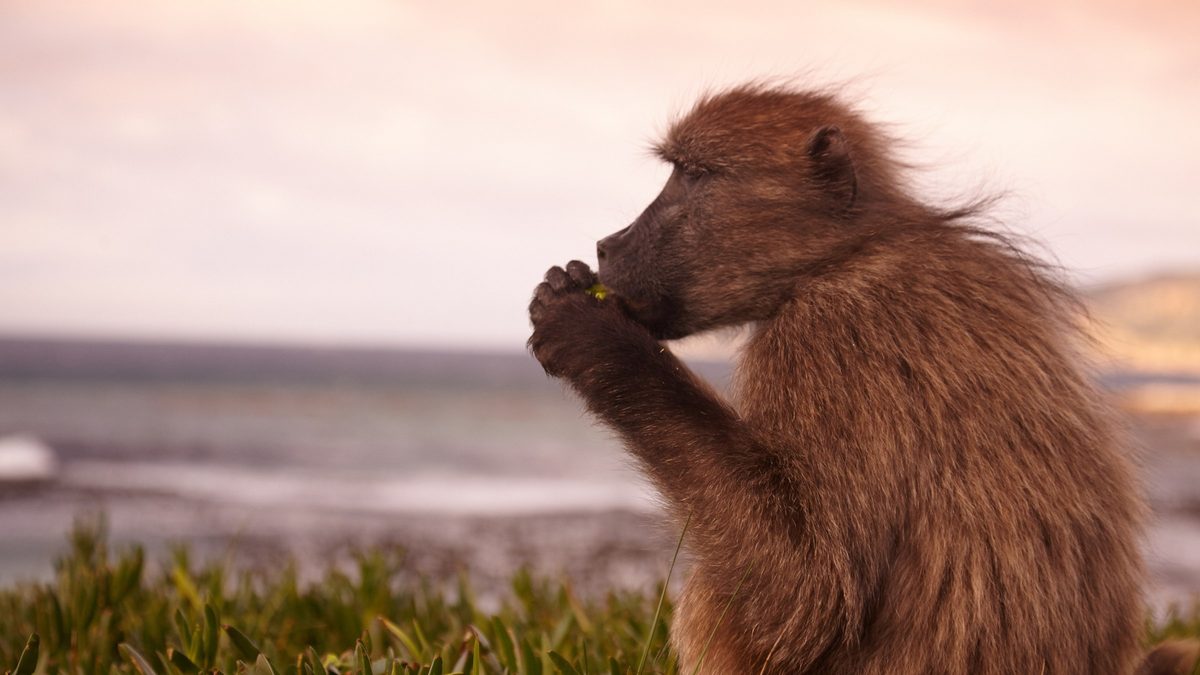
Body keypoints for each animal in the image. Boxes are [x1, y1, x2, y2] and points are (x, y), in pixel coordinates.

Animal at [527, 84, 1198, 674]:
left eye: (693, 175)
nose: (608, 244)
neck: (847, 253)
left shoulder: (823, 339)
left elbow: (809, 594)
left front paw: (592, 334)